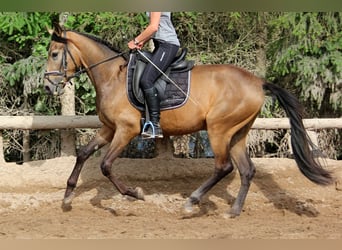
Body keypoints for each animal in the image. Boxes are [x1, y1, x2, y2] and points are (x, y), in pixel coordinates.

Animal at [43, 23, 334, 219]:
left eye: (55, 54)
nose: (47, 87)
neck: (112, 77)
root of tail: (258, 82)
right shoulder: (108, 128)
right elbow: (83, 154)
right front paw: (67, 197)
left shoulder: (126, 130)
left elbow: (105, 165)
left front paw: (135, 193)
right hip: (237, 133)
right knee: (246, 170)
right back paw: (233, 211)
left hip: (218, 129)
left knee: (224, 167)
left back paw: (192, 202)